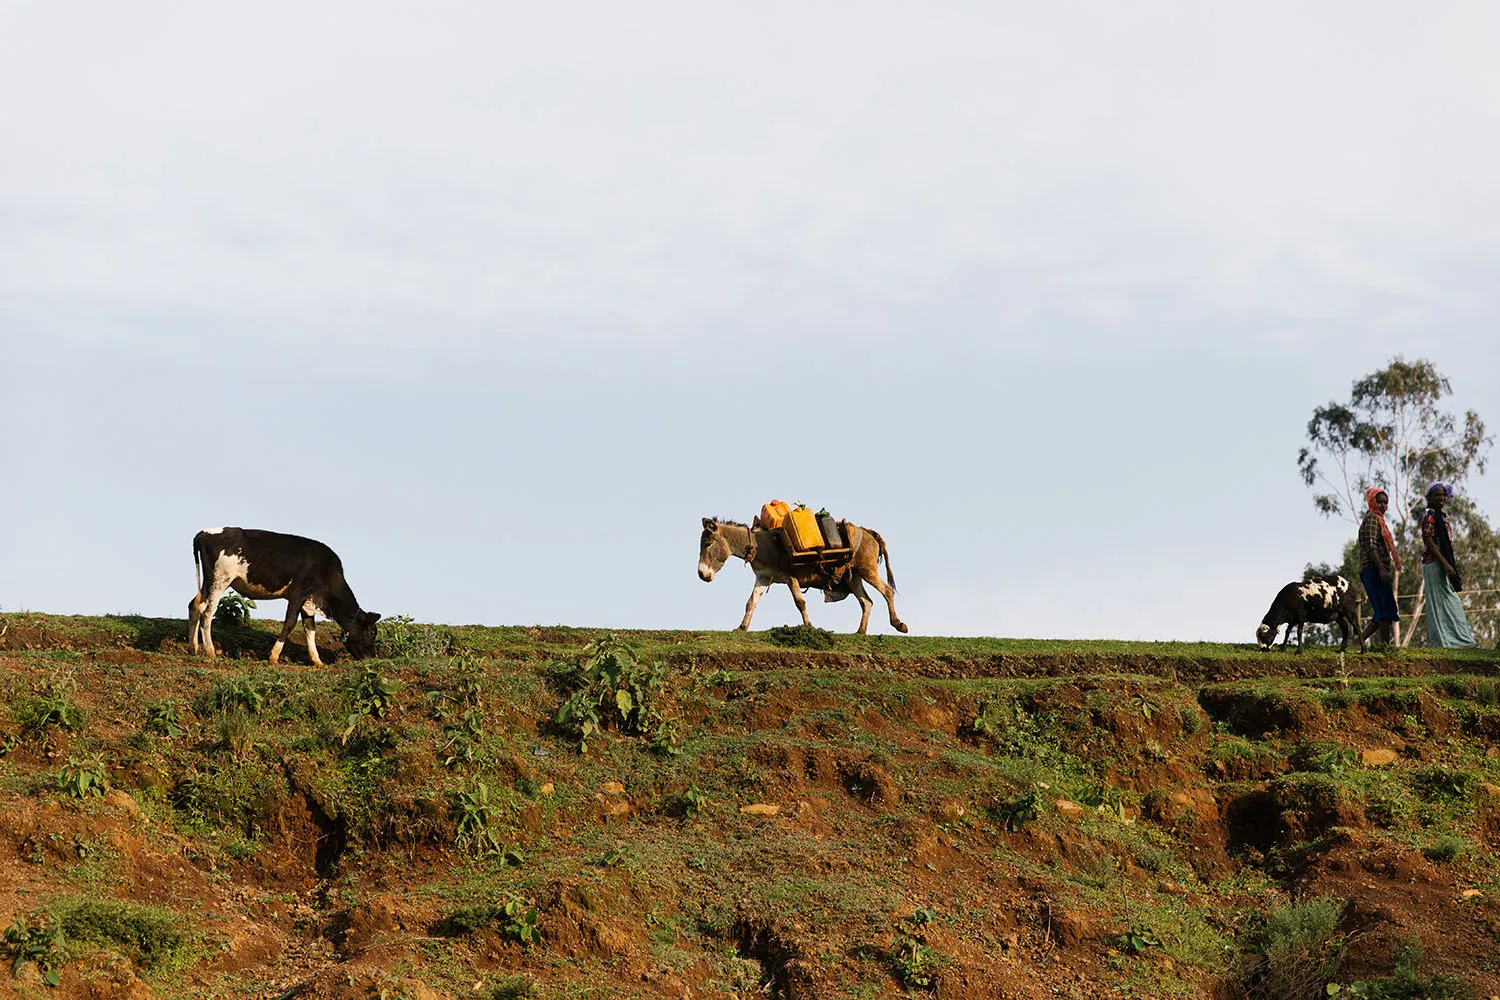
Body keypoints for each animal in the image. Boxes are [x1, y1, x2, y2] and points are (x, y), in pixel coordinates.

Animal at [187, 527, 381, 668]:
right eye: (372, 632)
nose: (372, 658)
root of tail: (204, 533)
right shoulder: (298, 594)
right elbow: (289, 624)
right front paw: (274, 656)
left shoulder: (308, 601)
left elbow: (310, 629)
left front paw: (317, 661)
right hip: (220, 580)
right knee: (207, 613)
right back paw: (211, 651)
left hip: (210, 581)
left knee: (194, 605)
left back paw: (193, 648)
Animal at [696, 515, 906, 632]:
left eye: (708, 544)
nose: (701, 574)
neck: (760, 546)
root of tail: (869, 532)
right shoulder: (763, 577)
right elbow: (751, 602)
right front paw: (741, 627)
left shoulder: (791, 578)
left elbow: (800, 602)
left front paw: (809, 625)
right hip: (853, 576)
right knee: (866, 602)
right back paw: (860, 632)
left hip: (867, 570)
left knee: (887, 591)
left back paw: (898, 624)